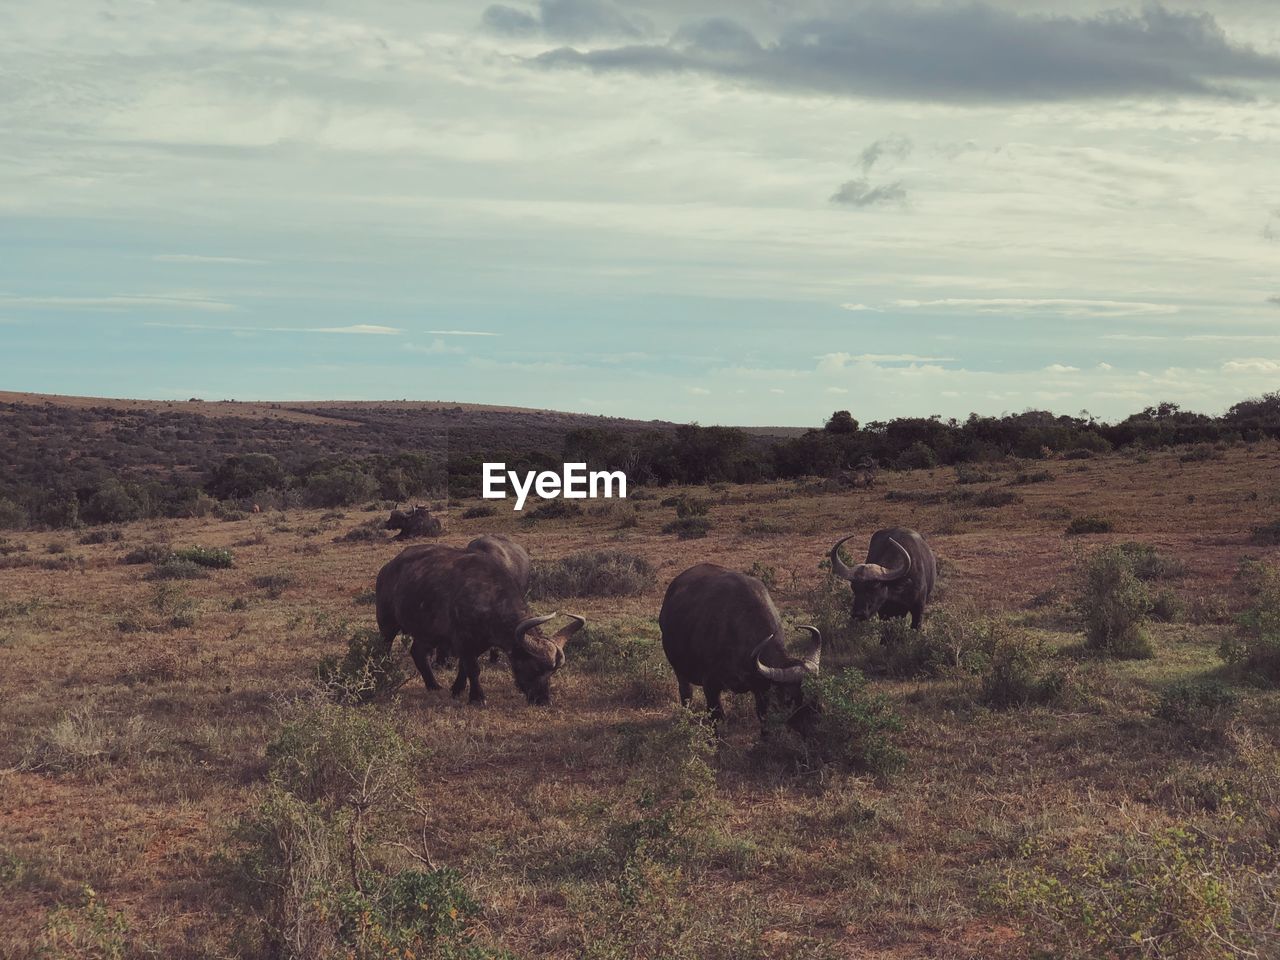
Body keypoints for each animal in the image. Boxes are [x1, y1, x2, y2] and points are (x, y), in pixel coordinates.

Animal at [373, 545, 586, 711]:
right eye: (532, 667)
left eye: (552, 672)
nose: (543, 700)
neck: (488, 598)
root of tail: (386, 569)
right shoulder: (463, 641)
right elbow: (473, 669)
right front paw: (477, 698)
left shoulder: (478, 644)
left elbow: (464, 668)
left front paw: (457, 689)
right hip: (387, 624)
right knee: (383, 649)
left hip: (427, 633)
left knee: (418, 652)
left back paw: (433, 685)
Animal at [655, 563, 824, 727]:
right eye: (791, 698)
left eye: (817, 694)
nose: (816, 722)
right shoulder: (710, 685)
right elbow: (716, 718)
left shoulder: (760, 689)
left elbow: (763, 717)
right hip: (679, 670)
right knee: (686, 694)